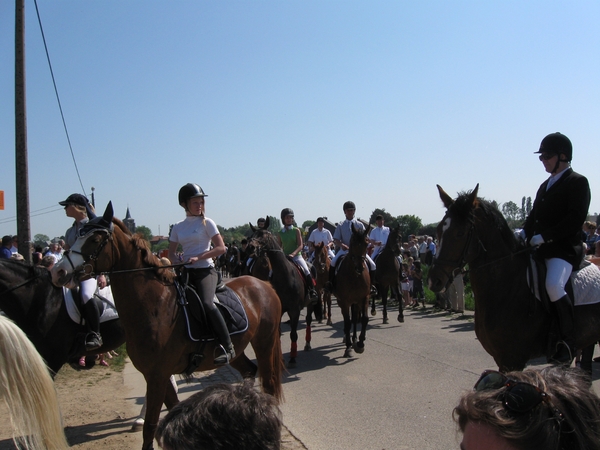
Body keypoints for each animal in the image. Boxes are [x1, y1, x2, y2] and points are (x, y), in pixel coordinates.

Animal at [51, 204, 284, 450]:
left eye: (94, 239)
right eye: (77, 235)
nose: (58, 272)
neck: (154, 304)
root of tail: (263, 284)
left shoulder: (157, 375)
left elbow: (151, 426)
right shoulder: (157, 375)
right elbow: (172, 413)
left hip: (264, 343)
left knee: (268, 383)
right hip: (237, 351)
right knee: (249, 370)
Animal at [332, 225, 370, 358]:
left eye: (366, 242)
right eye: (352, 242)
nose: (359, 267)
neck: (355, 276)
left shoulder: (364, 298)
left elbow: (364, 319)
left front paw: (360, 343)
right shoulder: (344, 301)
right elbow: (347, 322)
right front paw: (348, 347)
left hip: (356, 302)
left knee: (354, 318)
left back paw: (354, 339)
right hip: (343, 302)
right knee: (347, 320)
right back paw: (347, 339)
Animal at [428, 186, 600, 372]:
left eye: (460, 233)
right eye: (438, 230)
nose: (433, 281)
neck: (509, 285)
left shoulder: (512, 360)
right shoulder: (501, 359)